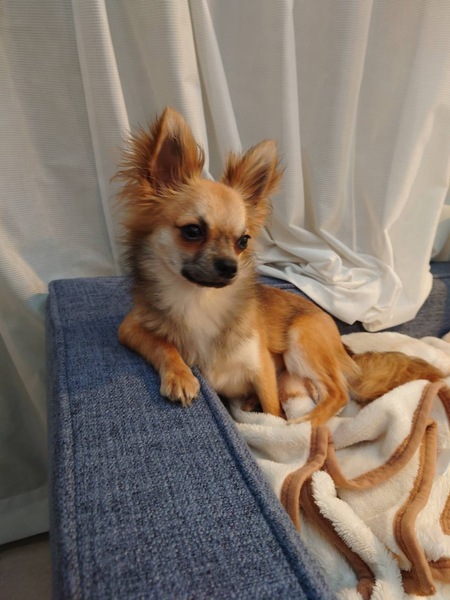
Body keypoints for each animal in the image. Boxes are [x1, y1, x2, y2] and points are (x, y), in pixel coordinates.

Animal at [116, 107, 444, 425]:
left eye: (243, 240)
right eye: (192, 231)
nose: (231, 267)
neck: (201, 300)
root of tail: (342, 346)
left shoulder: (260, 367)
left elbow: (273, 409)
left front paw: (275, 427)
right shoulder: (129, 328)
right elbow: (162, 344)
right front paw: (181, 375)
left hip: (301, 340)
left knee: (337, 393)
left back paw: (303, 424)